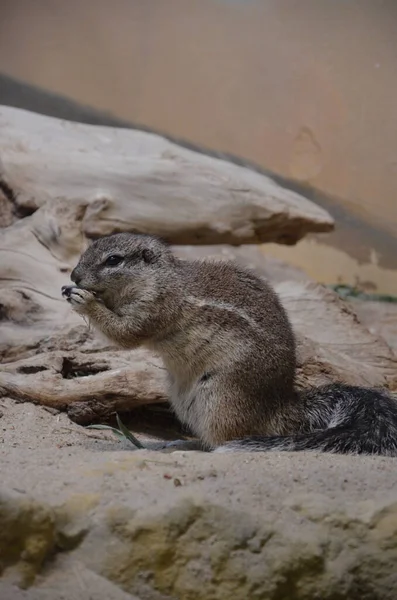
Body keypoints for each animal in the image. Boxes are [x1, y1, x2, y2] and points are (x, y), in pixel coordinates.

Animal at [61, 233, 396, 454]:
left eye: (113, 260)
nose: (74, 276)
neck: (159, 278)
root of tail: (282, 408)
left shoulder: (156, 308)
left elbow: (126, 333)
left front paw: (84, 300)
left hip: (219, 397)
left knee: (224, 440)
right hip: (183, 400)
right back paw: (178, 442)